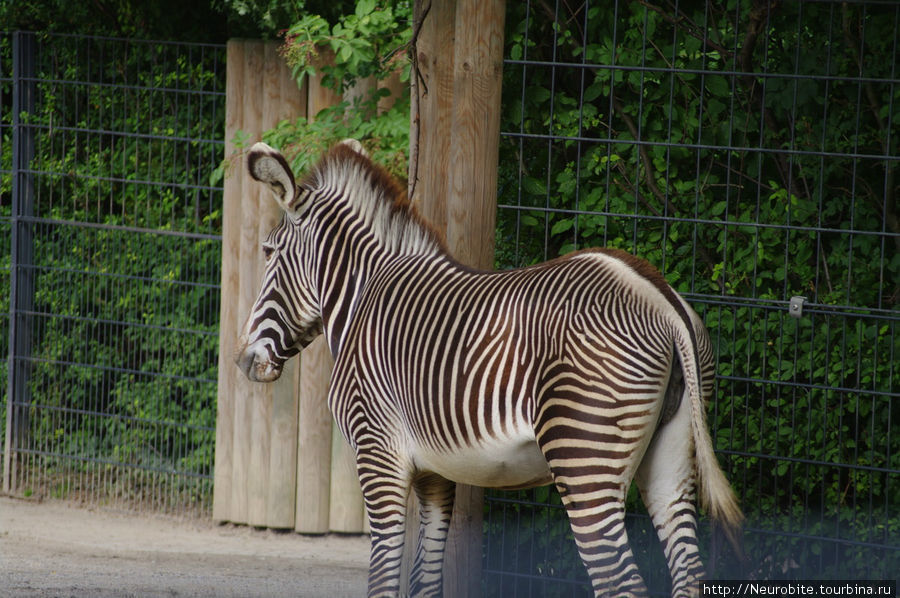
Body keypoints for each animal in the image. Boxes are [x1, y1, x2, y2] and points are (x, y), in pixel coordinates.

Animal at [236, 142, 740, 598]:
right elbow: (424, 582)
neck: (363, 297)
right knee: (688, 574)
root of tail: (659, 297)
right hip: (671, 454)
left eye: (267, 252)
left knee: (622, 584)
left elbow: (384, 580)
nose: (244, 360)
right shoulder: (435, 472)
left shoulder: (376, 453)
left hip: (583, 457)